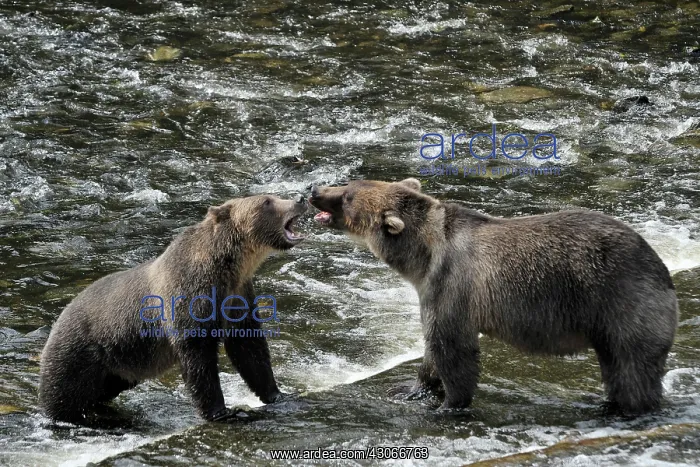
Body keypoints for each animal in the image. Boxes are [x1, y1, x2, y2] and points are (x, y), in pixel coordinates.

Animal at [39, 194, 307, 424]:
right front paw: (221, 411)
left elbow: (248, 347)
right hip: (80, 352)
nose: (301, 198)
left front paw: (277, 394)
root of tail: (58, 319)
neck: (229, 266)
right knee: (63, 394)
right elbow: (197, 354)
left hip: (116, 367)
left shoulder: (238, 294)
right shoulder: (189, 294)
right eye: (267, 201)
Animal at [309, 178, 678, 414]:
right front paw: (409, 388)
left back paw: (627, 408)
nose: (314, 190)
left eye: (347, 196)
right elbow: (432, 348)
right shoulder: (431, 290)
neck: (422, 257)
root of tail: (661, 266)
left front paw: (449, 404)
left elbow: (452, 347)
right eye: (349, 183)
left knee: (632, 366)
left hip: (622, 299)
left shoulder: (451, 285)